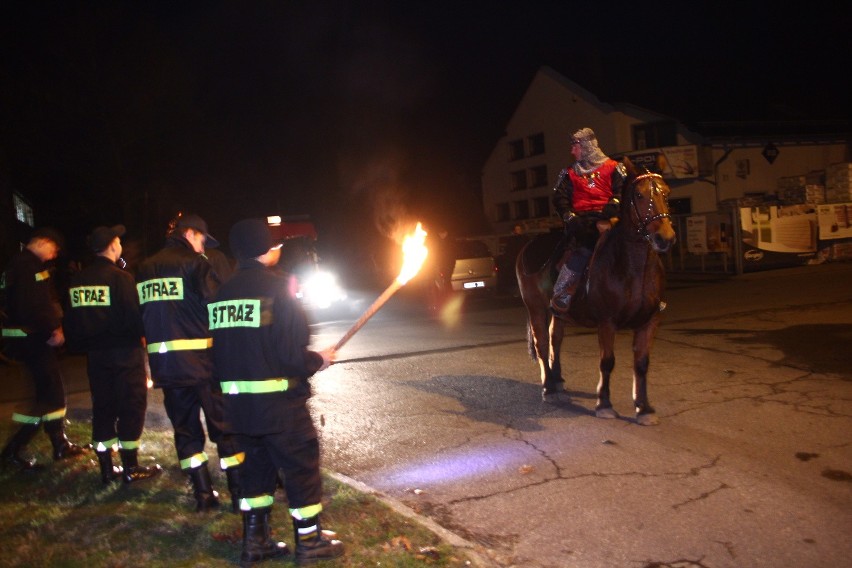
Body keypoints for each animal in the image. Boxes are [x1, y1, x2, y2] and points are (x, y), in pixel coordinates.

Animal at [516, 158, 676, 424]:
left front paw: (643, 408)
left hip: (559, 313)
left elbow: (642, 363)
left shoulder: (650, 321)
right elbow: (607, 361)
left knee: (555, 340)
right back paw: (549, 388)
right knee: (542, 344)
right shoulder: (607, 322)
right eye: (639, 195)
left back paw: (558, 381)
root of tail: (528, 245)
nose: (665, 238)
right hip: (535, 308)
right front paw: (604, 404)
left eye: (666, 193)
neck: (632, 268)